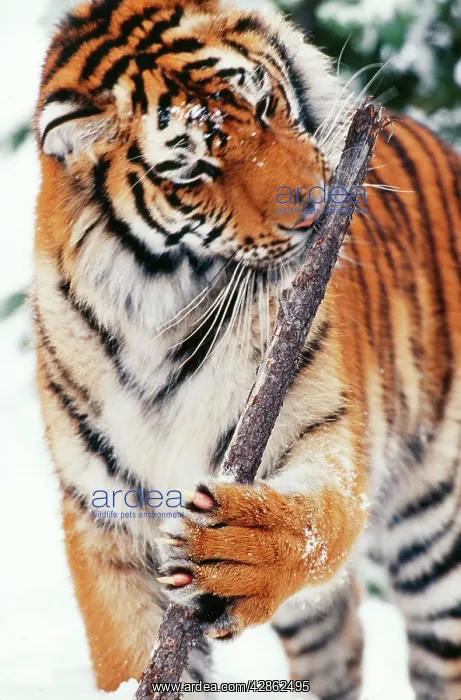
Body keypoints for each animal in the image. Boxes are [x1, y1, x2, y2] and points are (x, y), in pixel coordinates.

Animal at [33, 0, 461, 697]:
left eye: (263, 107)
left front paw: (242, 549)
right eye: (193, 170)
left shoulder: (324, 430)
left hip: (435, 535)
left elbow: (320, 519)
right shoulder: (104, 521)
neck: (164, 324)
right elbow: (130, 654)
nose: (314, 210)